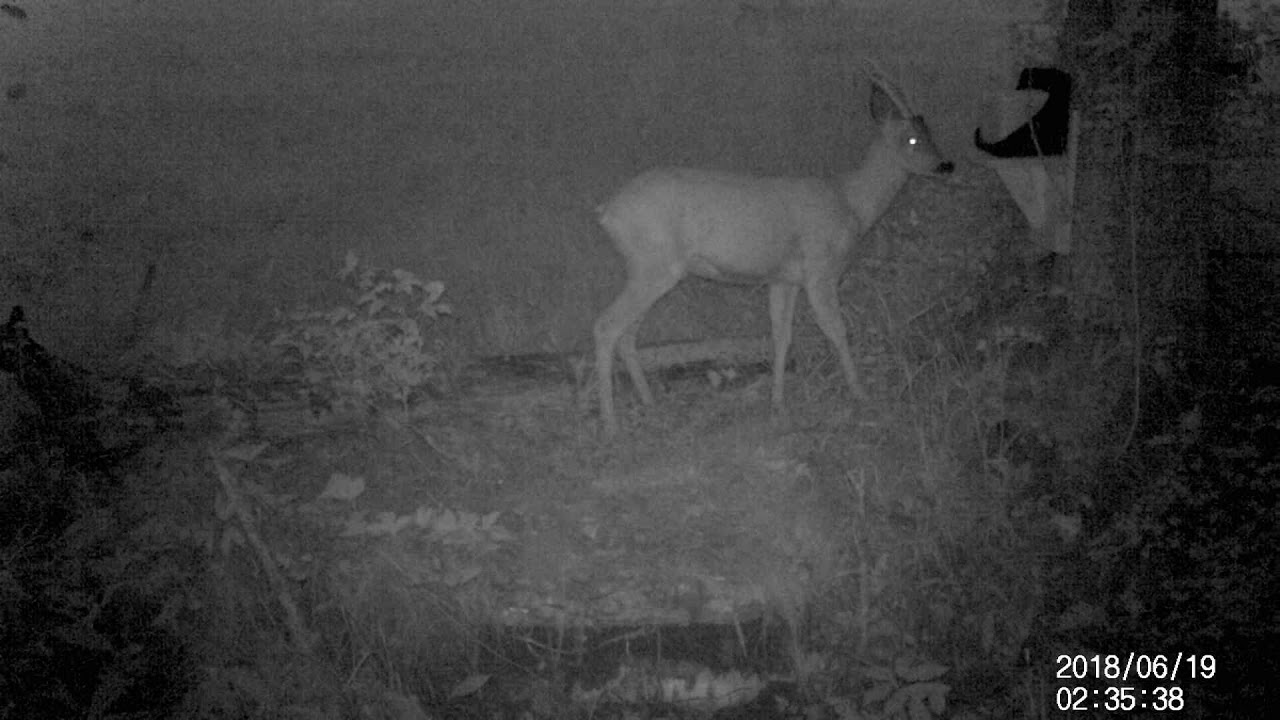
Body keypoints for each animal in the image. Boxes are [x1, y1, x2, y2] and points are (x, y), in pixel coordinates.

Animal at [593, 65, 954, 434]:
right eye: (911, 139)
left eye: (929, 130)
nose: (946, 165)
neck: (850, 203)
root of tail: (608, 212)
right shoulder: (820, 269)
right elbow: (836, 329)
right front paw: (860, 392)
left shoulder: (784, 279)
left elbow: (781, 336)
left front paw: (777, 404)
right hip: (653, 265)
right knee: (606, 325)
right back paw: (610, 423)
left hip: (649, 270)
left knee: (627, 332)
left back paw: (649, 403)